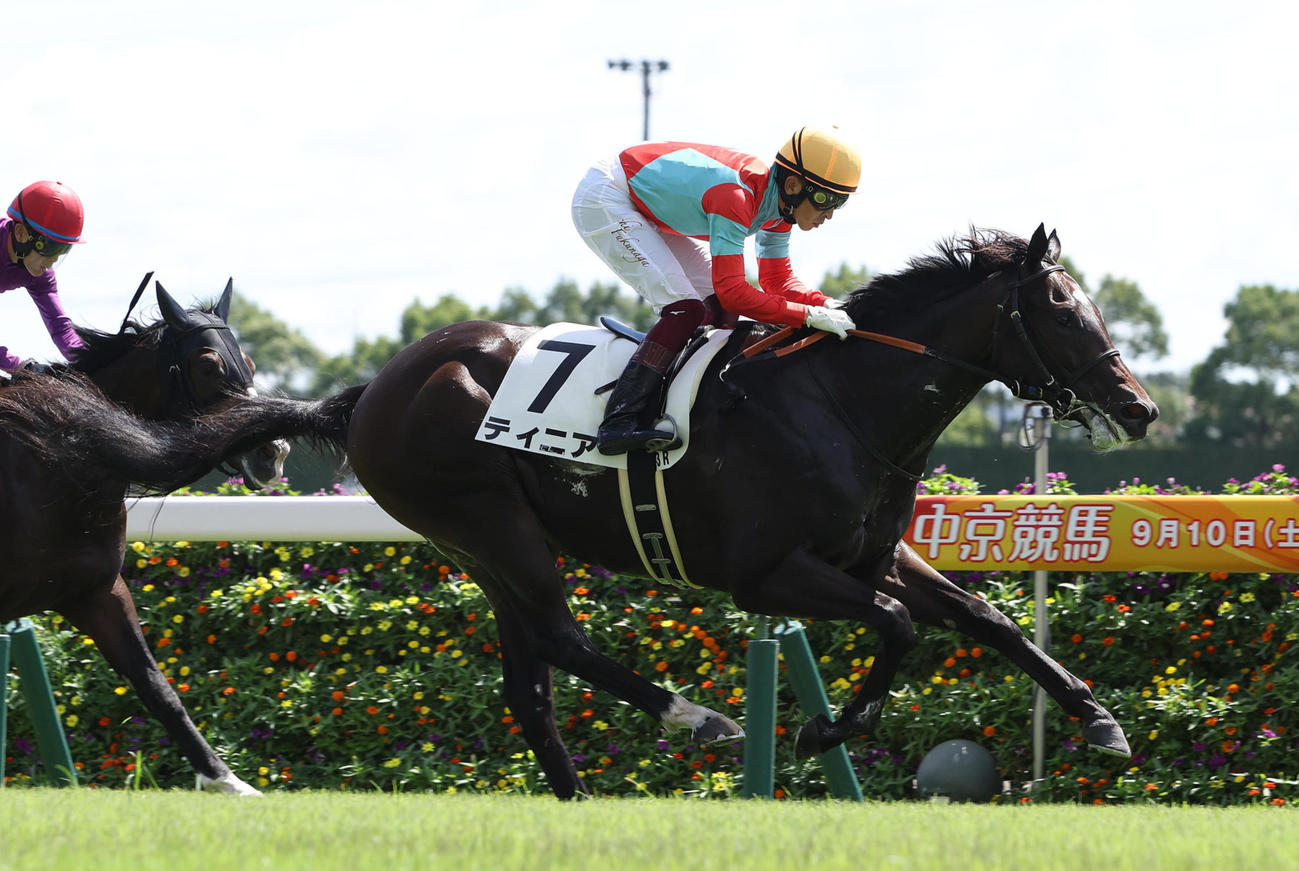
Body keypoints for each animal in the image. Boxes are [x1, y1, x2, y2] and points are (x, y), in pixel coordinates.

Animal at [0, 279, 292, 794]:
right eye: (207, 365)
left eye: (251, 364)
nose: (272, 453)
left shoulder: (96, 591)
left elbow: (156, 686)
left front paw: (226, 780)